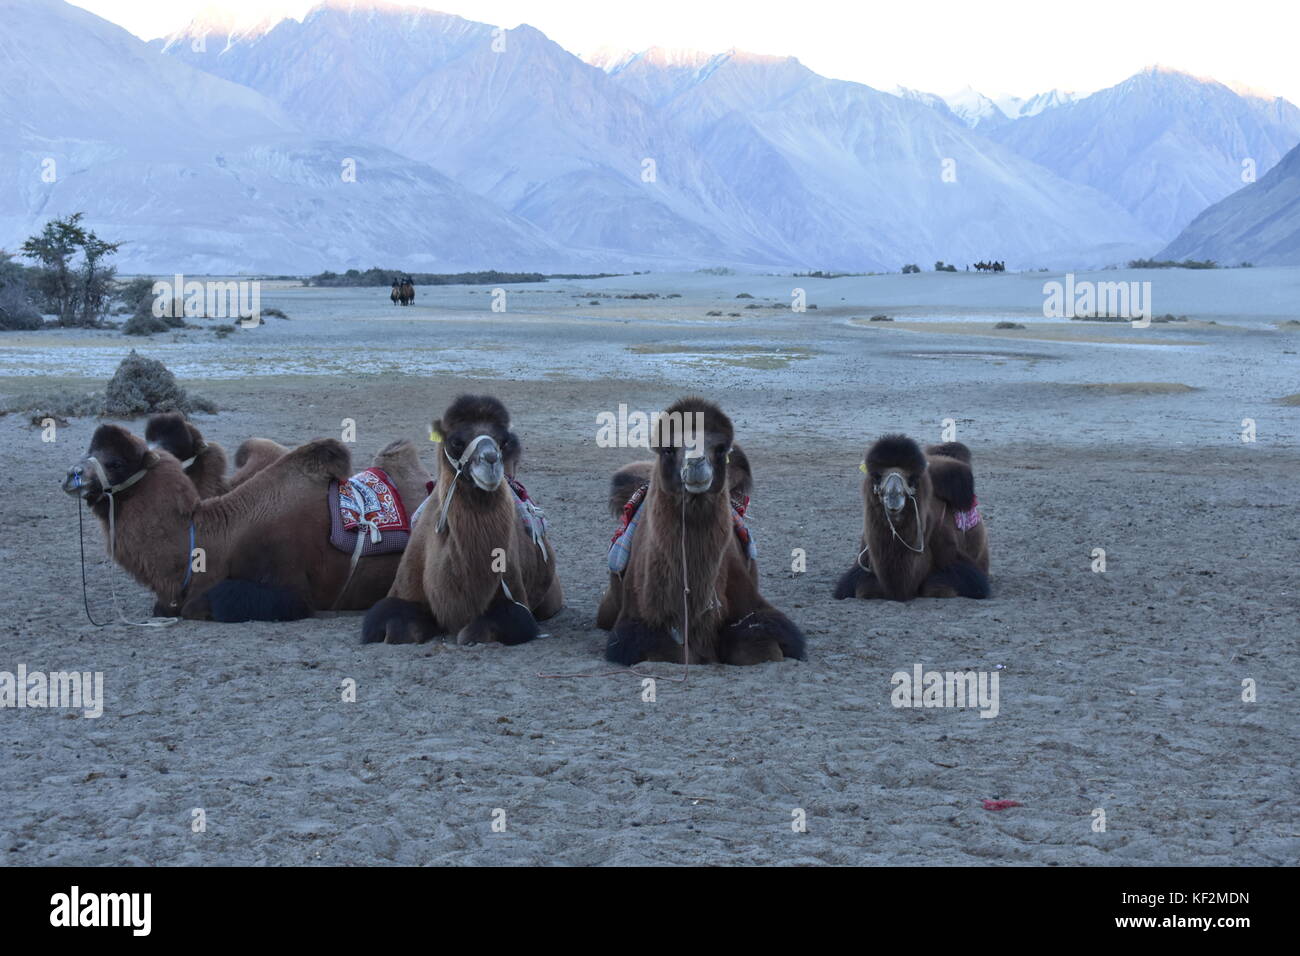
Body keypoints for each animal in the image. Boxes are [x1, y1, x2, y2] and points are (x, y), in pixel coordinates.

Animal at [64, 426, 431, 621]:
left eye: (115, 462)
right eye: (90, 449)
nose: (72, 476)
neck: (214, 542)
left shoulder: (290, 588)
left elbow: (201, 604)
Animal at [361, 392, 559, 647]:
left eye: (503, 441)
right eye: (456, 441)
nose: (491, 460)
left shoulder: (514, 600)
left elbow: (485, 629)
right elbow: (394, 625)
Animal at [595, 395, 800, 665]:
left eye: (721, 448)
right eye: (668, 449)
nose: (695, 462)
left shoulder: (755, 612)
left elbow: (765, 646)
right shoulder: (636, 627)